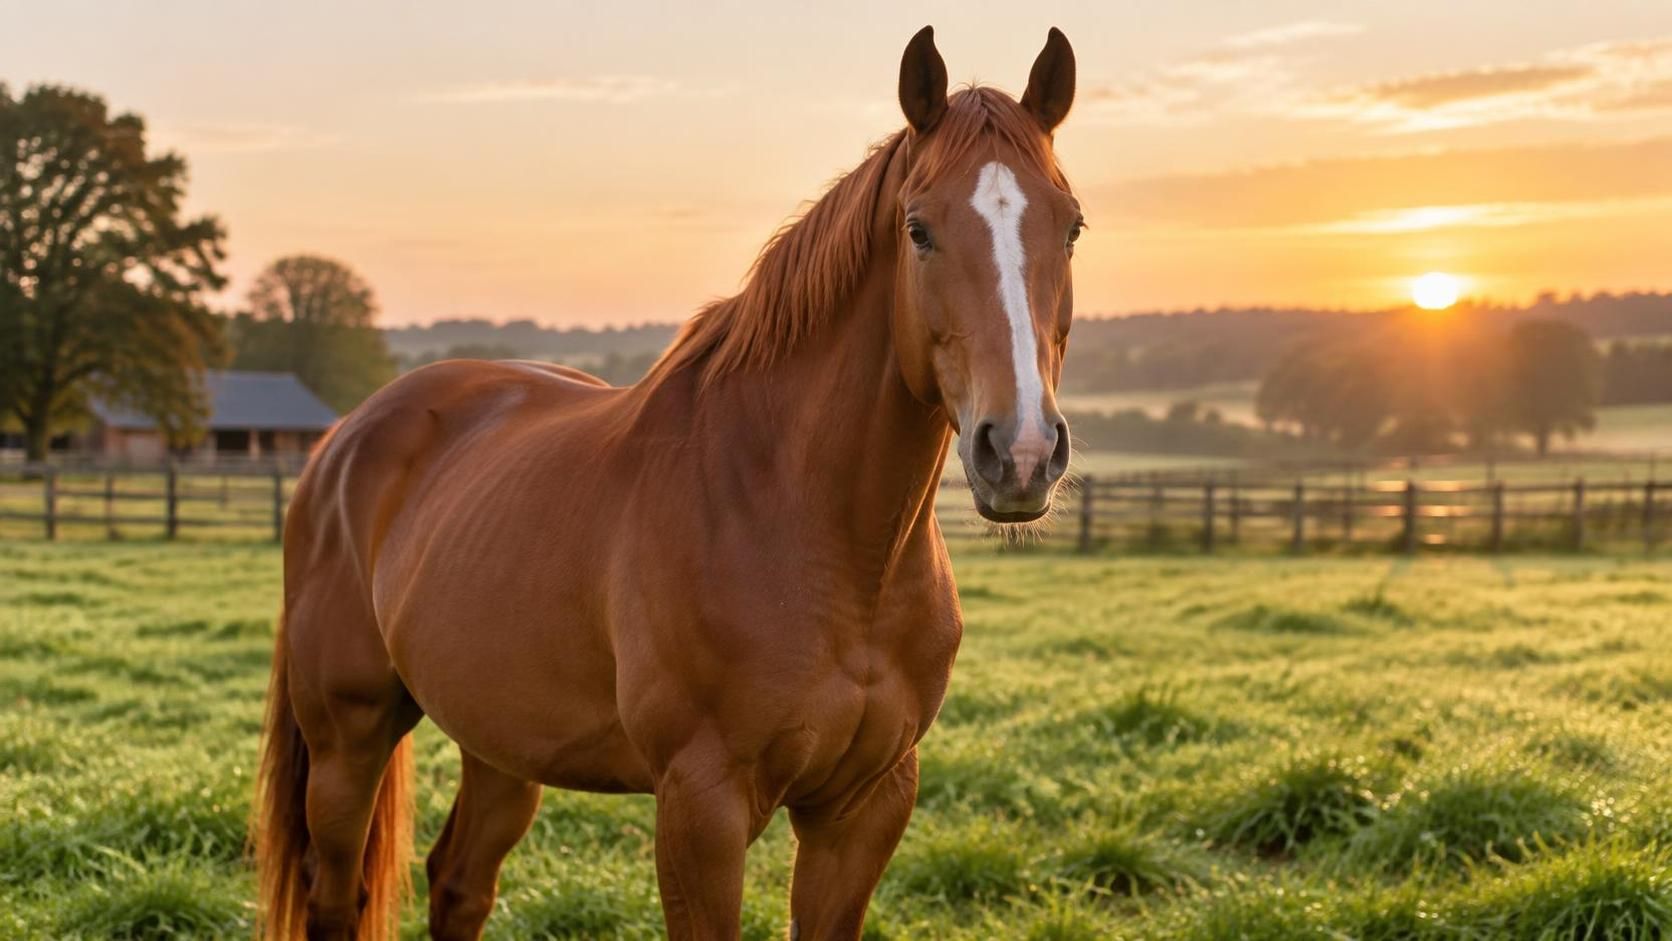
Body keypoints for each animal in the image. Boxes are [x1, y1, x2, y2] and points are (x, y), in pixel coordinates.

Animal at [254, 25, 1083, 941]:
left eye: (1072, 227)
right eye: (919, 229)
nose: (1021, 449)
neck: (819, 535)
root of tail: (342, 441)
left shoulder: (865, 804)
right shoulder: (701, 807)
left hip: (500, 740)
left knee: (458, 881)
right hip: (349, 736)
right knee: (337, 896)